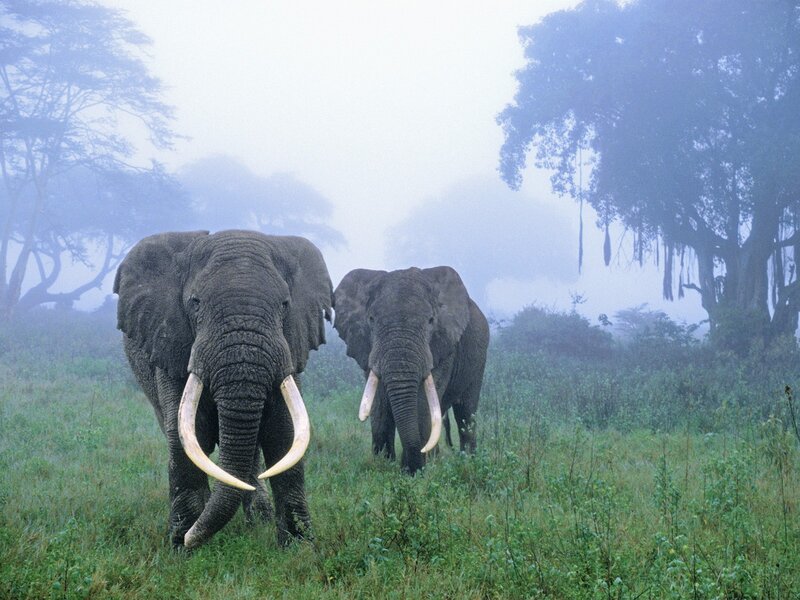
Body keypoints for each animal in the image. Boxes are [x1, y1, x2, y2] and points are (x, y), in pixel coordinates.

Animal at [113, 229, 332, 550]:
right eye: (195, 302)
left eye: (285, 304)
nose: (189, 540)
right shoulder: (172, 345)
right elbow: (186, 434)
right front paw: (182, 546)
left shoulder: (291, 347)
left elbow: (285, 433)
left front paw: (299, 547)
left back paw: (258, 519)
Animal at [333, 266, 489, 474]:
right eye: (371, 319)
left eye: (431, 320)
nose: (410, 468)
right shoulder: (367, 348)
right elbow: (380, 405)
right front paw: (383, 467)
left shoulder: (443, 345)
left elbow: (422, 403)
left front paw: (413, 473)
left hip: (478, 358)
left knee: (465, 413)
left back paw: (468, 462)